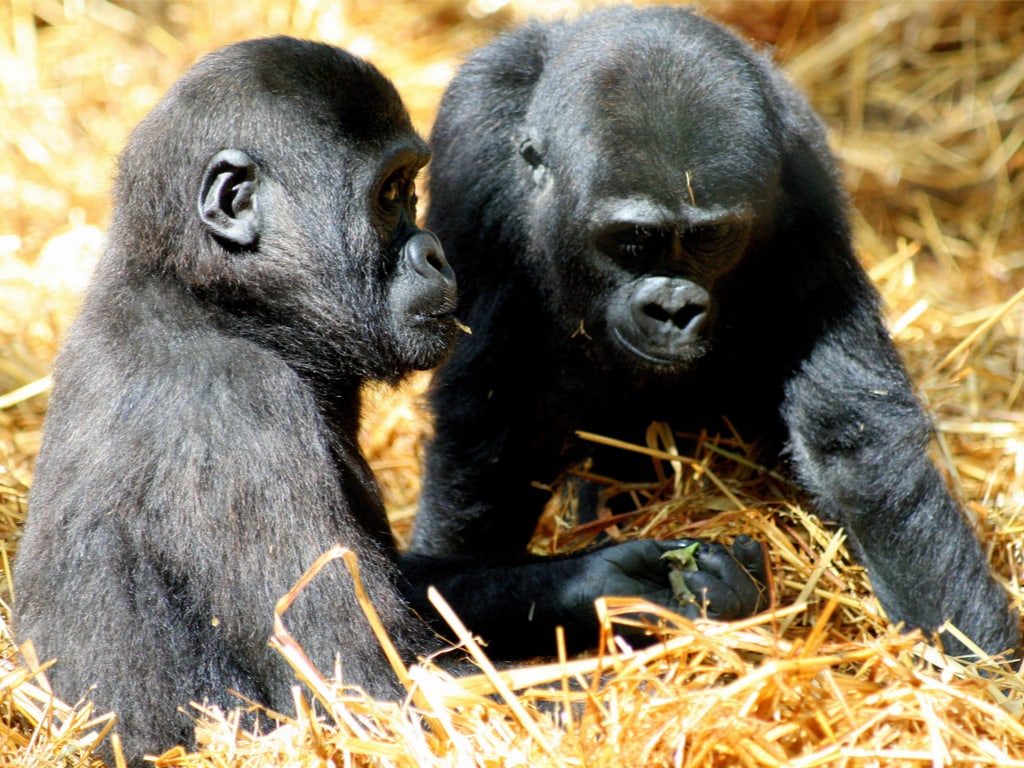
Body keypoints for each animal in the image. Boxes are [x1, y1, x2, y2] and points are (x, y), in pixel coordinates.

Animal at [12, 34, 765, 765]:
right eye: (390, 192)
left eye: (411, 188)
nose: (434, 251)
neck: (210, 298)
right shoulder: (237, 411)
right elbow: (375, 695)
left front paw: (627, 582)